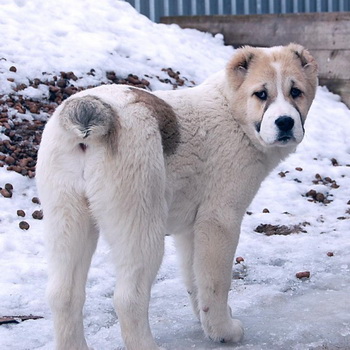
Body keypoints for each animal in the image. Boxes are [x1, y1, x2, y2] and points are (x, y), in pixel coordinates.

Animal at [35, 44, 318, 350]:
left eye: (296, 92)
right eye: (261, 94)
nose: (285, 122)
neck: (231, 110)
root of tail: (94, 111)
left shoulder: (189, 229)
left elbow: (195, 279)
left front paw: (207, 324)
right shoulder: (219, 220)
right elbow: (215, 282)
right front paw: (224, 330)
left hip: (67, 219)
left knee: (62, 295)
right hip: (140, 225)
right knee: (128, 298)